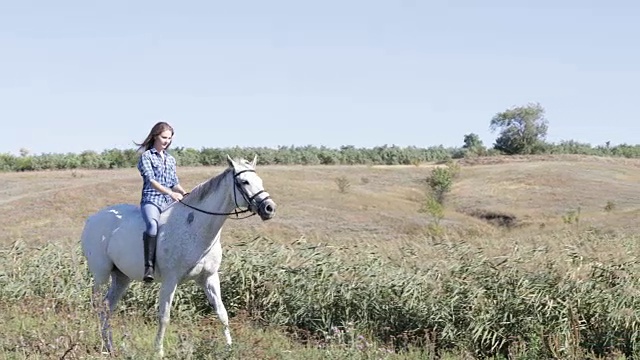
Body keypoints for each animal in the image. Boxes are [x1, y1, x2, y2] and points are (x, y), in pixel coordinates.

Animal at [80, 155, 278, 358]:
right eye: (244, 182)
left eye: (259, 180)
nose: (269, 208)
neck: (196, 228)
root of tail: (92, 219)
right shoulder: (170, 280)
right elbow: (164, 316)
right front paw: (159, 351)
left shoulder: (209, 278)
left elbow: (222, 313)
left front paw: (229, 349)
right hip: (101, 276)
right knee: (99, 305)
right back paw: (103, 345)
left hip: (121, 277)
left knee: (107, 307)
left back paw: (109, 346)